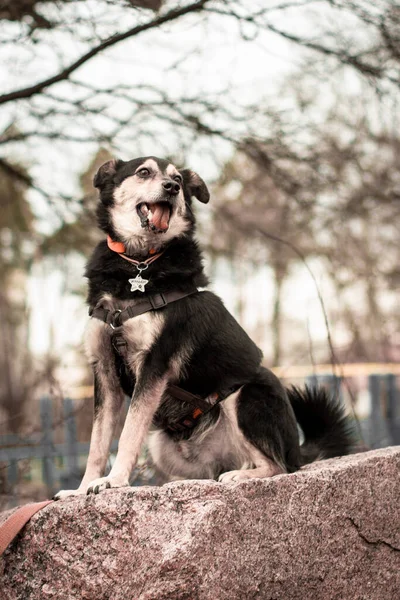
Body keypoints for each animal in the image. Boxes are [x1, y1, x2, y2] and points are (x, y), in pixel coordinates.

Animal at [54, 157, 354, 500]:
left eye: (180, 180)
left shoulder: (153, 366)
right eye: (143, 172)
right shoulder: (104, 371)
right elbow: (97, 442)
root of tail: (298, 449)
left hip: (244, 394)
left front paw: (113, 481)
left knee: (277, 465)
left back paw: (242, 474)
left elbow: (129, 432)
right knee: (217, 470)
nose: (172, 187)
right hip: (160, 444)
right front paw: (81, 488)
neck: (138, 263)